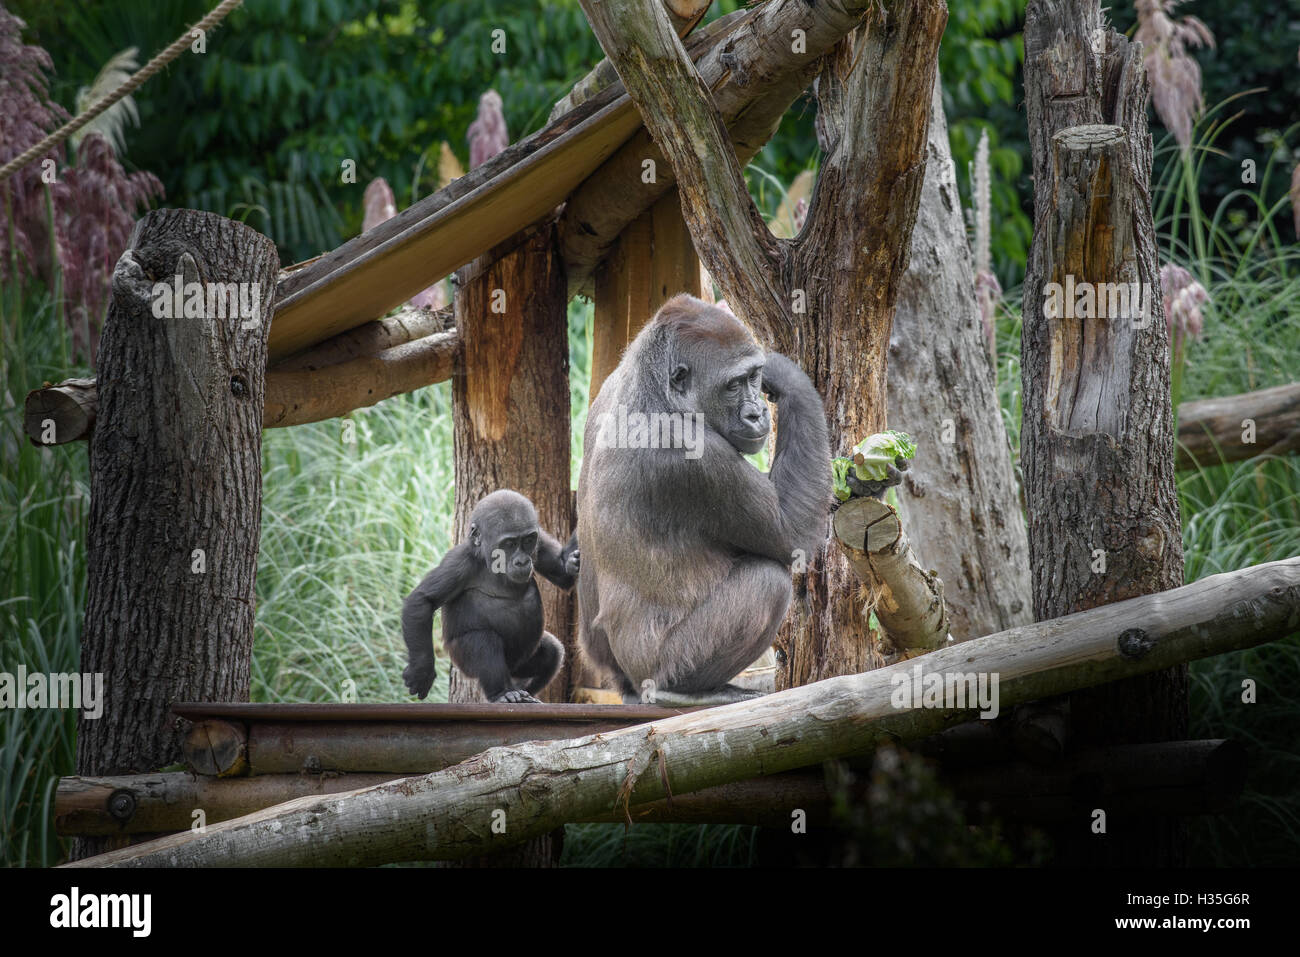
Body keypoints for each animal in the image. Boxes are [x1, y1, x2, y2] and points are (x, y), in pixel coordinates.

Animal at [397, 494, 577, 702]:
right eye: (509, 544)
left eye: (528, 540)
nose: (522, 561)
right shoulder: (458, 563)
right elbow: (422, 600)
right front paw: (422, 671)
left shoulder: (539, 543)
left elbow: (562, 575)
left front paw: (572, 561)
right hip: (462, 662)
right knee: (483, 641)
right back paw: (501, 693)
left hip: (521, 665)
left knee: (552, 652)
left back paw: (524, 692)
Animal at [579, 295, 832, 707]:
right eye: (733, 385)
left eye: (752, 377)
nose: (757, 413)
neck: (655, 392)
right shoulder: (693, 453)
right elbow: (792, 534)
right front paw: (789, 376)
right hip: (661, 665)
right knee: (767, 581)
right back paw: (685, 690)